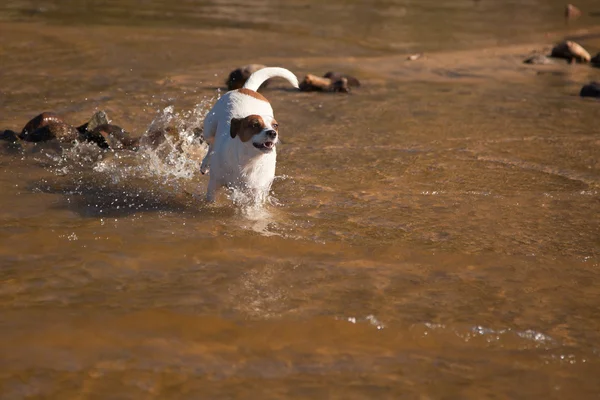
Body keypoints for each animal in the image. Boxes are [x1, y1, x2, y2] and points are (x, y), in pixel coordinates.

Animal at [200, 67, 298, 203]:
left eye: (275, 125)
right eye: (255, 125)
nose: (272, 133)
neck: (249, 160)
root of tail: (247, 89)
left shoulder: (257, 192)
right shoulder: (214, 184)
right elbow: (211, 200)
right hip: (209, 128)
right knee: (211, 145)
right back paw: (205, 164)